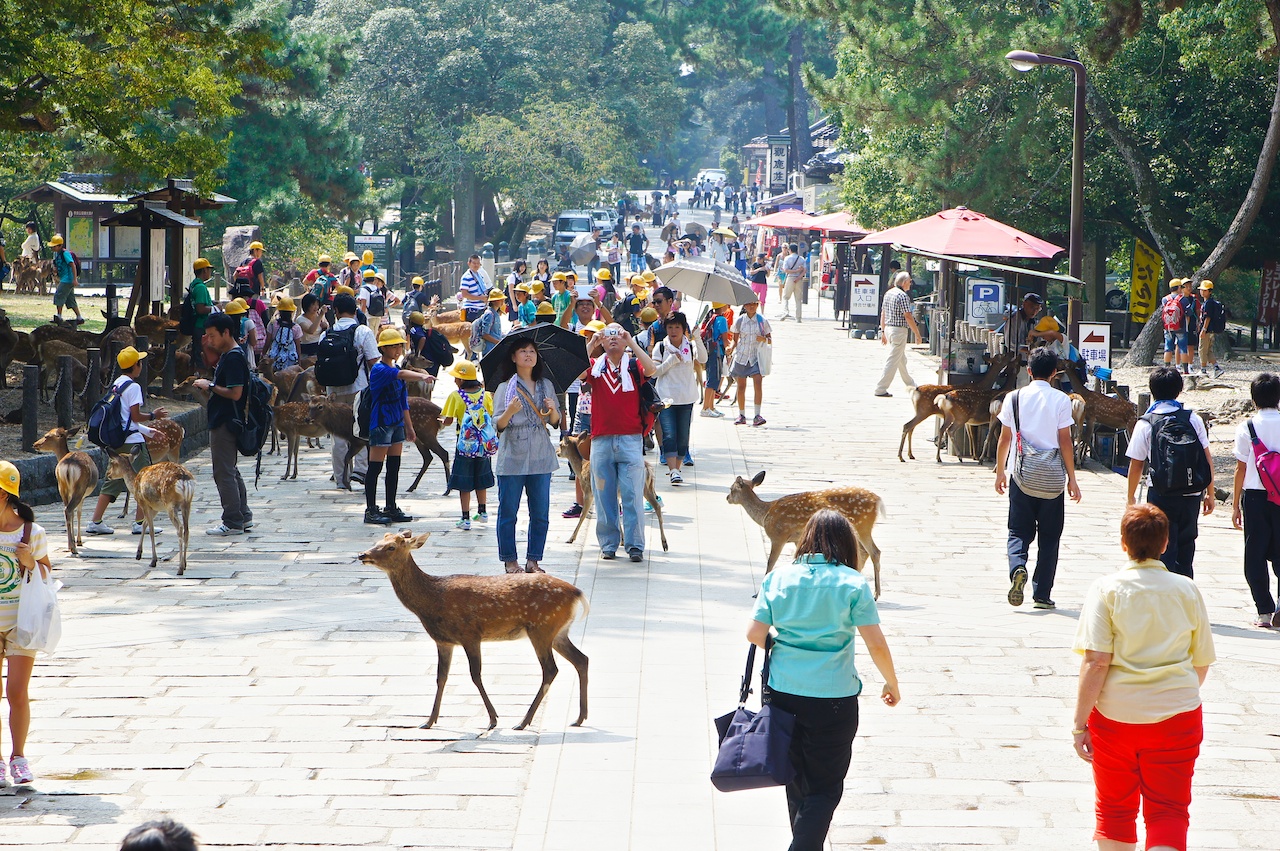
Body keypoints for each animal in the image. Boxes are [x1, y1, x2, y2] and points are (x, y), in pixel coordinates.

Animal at [32, 427, 99, 556]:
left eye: (46, 436)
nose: (35, 444)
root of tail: (69, 464)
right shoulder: (83, 496)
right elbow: (79, 513)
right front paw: (79, 541)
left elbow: (74, 514)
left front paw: (74, 541)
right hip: (79, 488)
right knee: (69, 510)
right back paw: (74, 548)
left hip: (61, 486)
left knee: (66, 510)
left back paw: (70, 546)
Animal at [358, 530, 589, 731]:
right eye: (378, 540)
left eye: (391, 547)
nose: (363, 555)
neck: (431, 601)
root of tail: (578, 593)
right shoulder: (443, 641)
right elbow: (441, 677)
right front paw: (428, 721)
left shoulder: (470, 634)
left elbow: (475, 675)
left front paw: (493, 719)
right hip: (558, 632)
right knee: (582, 659)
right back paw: (579, 717)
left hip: (542, 628)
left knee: (551, 669)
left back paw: (523, 722)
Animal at [726, 471, 885, 598]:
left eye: (731, 488)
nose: (727, 497)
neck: (765, 514)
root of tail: (878, 500)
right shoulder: (797, 538)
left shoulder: (779, 535)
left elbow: (770, 563)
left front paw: (758, 593)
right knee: (865, 552)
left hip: (862, 526)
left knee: (874, 552)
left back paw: (876, 594)